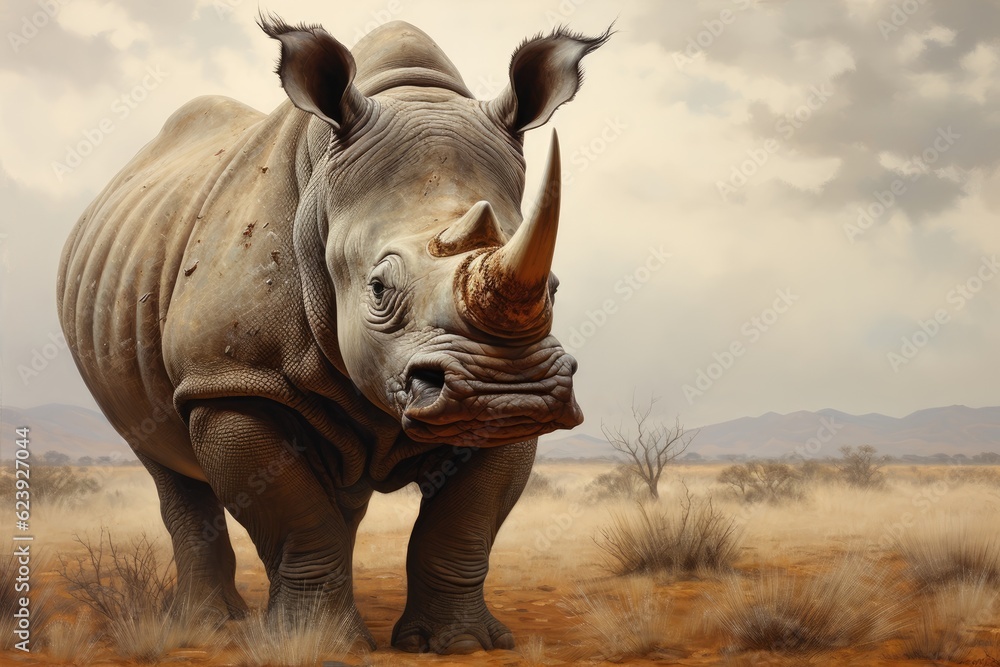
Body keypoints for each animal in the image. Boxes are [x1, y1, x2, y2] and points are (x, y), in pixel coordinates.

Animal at [57, 15, 608, 653]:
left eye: (554, 289)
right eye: (378, 289)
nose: (508, 393)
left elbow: (464, 525)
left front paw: (459, 645)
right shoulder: (229, 378)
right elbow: (296, 516)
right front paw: (319, 644)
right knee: (164, 462)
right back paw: (207, 626)